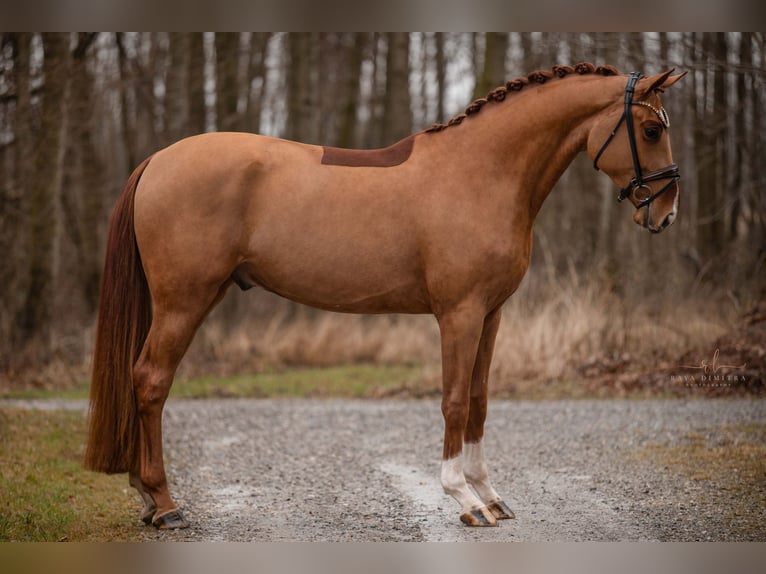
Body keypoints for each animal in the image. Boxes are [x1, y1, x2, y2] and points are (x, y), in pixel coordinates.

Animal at [87, 63, 688, 532]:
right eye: (649, 129)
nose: (666, 213)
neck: (482, 171)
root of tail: (158, 160)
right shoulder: (459, 314)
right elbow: (453, 400)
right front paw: (464, 499)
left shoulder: (491, 315)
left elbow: (479, 400)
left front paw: (490, 495)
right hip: (183, 302)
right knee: (150, 381)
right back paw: (165, 505)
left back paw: (148, 499)